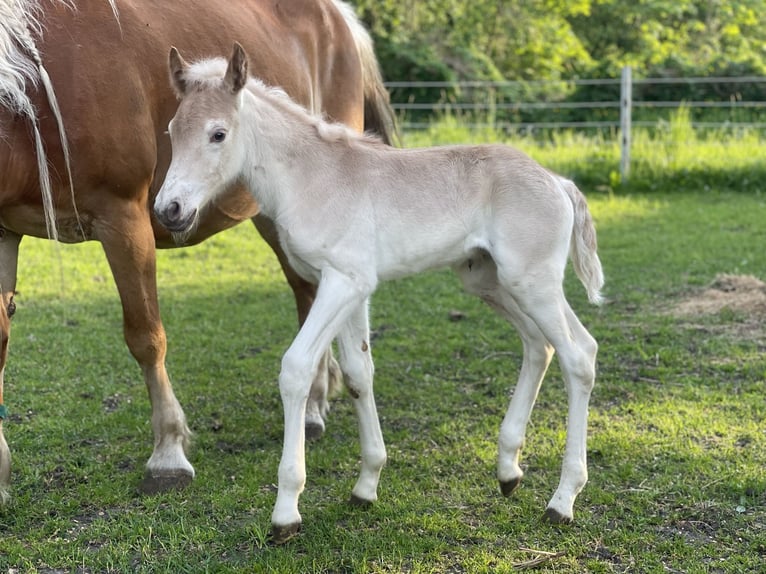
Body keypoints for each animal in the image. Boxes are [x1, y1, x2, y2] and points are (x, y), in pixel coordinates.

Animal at [0, 0, 396, 504]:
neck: (35, 85)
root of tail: (341, 18)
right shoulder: (4, 232)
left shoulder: (122, 217)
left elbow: (146, 336)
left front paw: (168, 454)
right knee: (309, 293)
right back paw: (317, 400)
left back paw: (311, 407)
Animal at [156, 44, 608, 544]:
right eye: (172, 131)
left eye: (218, 134)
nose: (169, 210)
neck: (311, 178)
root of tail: (557, 182)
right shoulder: (350, 288)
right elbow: (359, 374)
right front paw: (366, 485)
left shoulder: (343, 281)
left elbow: (296, 369)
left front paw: (286, 512)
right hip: (490, 281)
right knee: (540, 346)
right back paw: (508, 470)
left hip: (532, 281)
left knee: (578, 355)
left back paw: (563, 500)